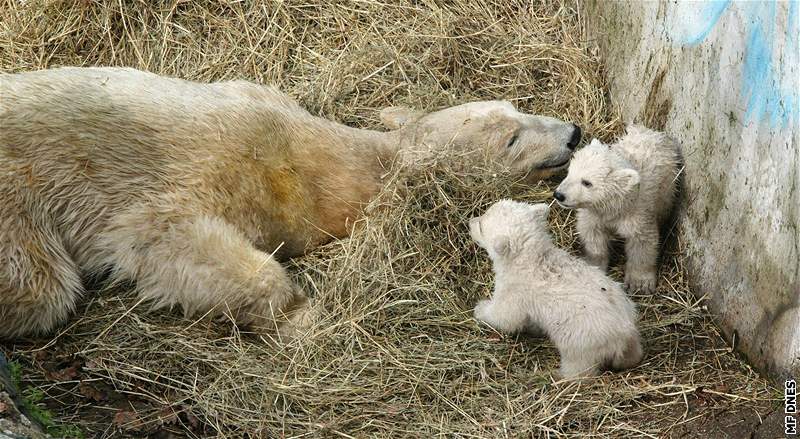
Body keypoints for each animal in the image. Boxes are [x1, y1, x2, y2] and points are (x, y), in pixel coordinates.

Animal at [0, 67, 580, 338]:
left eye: (517, 106)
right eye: (511, 138)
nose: (573, 133)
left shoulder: (257, 96)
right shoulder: (218, 176)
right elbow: (168, 238)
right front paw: (305, 314)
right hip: (20, 198)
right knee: (41, 285)